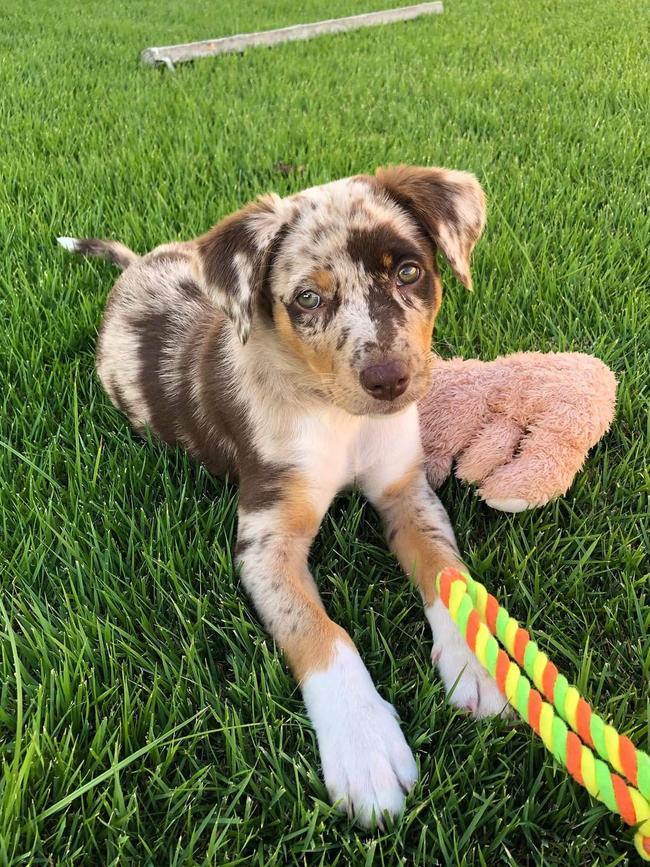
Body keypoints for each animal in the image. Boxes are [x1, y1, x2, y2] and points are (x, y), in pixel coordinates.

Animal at [59, 164, 506, 828]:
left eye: (408, 271)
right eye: (307, 300)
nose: (390, 381)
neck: (336, 415)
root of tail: (137, 266)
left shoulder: (406, 490)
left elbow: (446, 570)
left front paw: (477, 660)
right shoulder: (265, 537)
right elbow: (320, 632)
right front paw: (364, 747)